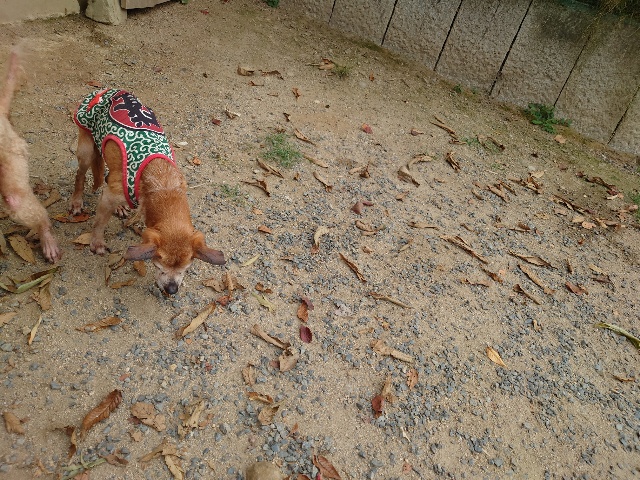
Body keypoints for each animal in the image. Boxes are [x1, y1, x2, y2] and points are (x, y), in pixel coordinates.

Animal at [70, 88, 225, 294]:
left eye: (185, 268)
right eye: (159, 264)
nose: (172, 289)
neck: (164, 186)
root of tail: (106, 90)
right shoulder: (108, 198)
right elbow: (100, 223)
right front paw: (97, 243)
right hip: (86, 150)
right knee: (80, 176)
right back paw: (76, 201)